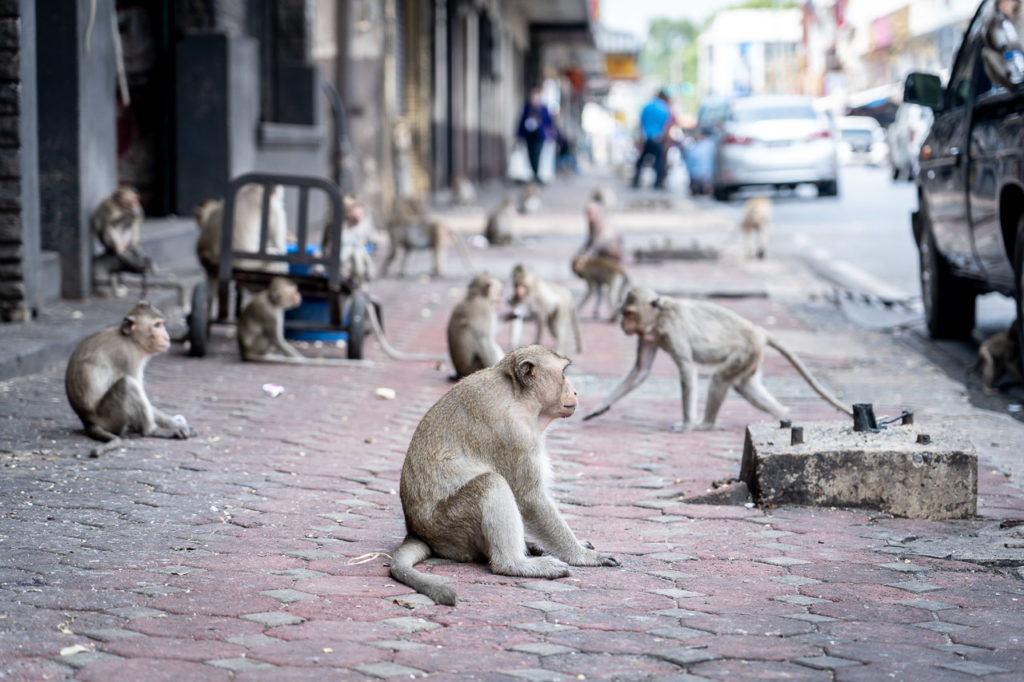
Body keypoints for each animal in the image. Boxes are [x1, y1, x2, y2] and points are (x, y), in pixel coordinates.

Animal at [66, 299, 193, 454]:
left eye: (162, 324)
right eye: (157, 325)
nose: (167, 337)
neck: (131, 340)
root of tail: (87, 421)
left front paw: (175, 421)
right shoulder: (128, 357)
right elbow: (136, 385)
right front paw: (173, 426)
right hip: (109, 418)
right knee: (128, 384)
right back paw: (152, 430)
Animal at [389, 342, 614, 602]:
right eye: (563, 373)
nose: (575, 392)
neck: (518, 397)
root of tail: (416, 531)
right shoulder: (514, 434)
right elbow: (530, 499)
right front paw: (582, 556)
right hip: (450, 528)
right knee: (492, 483)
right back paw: (515, 564)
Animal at [585, 284, 847, 428]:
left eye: (628, 312)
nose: (622, 324)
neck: (658, 318)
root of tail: (759, 331)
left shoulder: (673, 330)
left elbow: (687, 369)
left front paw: (687, 424)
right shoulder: (647, 338)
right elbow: (640, 371)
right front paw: (600, 407)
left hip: (746, 351)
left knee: (720, 379)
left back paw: (705, 425)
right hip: (752, 358)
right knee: (745, 386)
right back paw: (782, 415)